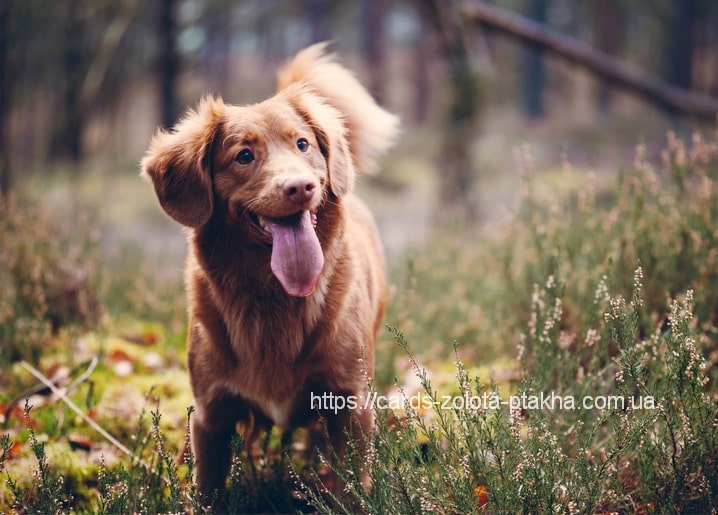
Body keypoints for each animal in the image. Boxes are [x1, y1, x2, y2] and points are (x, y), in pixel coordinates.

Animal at [141, 44, 400, 504]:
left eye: (303, 144)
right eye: (244, 155)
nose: (300, 187)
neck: (272, 296)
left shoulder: (350, 403)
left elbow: (351, 488)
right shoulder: (211, 415)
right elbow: (208, 492)